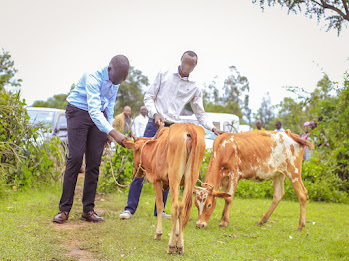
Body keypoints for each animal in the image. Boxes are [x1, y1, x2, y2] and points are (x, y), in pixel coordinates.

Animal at [123, 122, 205, 254]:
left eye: (134, 152)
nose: (136, 172)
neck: (155, 150)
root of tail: (189, 128)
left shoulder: (157, 181)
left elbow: (160, 205)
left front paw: (159, 234)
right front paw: (176, 234)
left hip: (174, 176)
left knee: (175, 207)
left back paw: (171, 246)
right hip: (190, 179)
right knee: (183, 208)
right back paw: (180, 245)